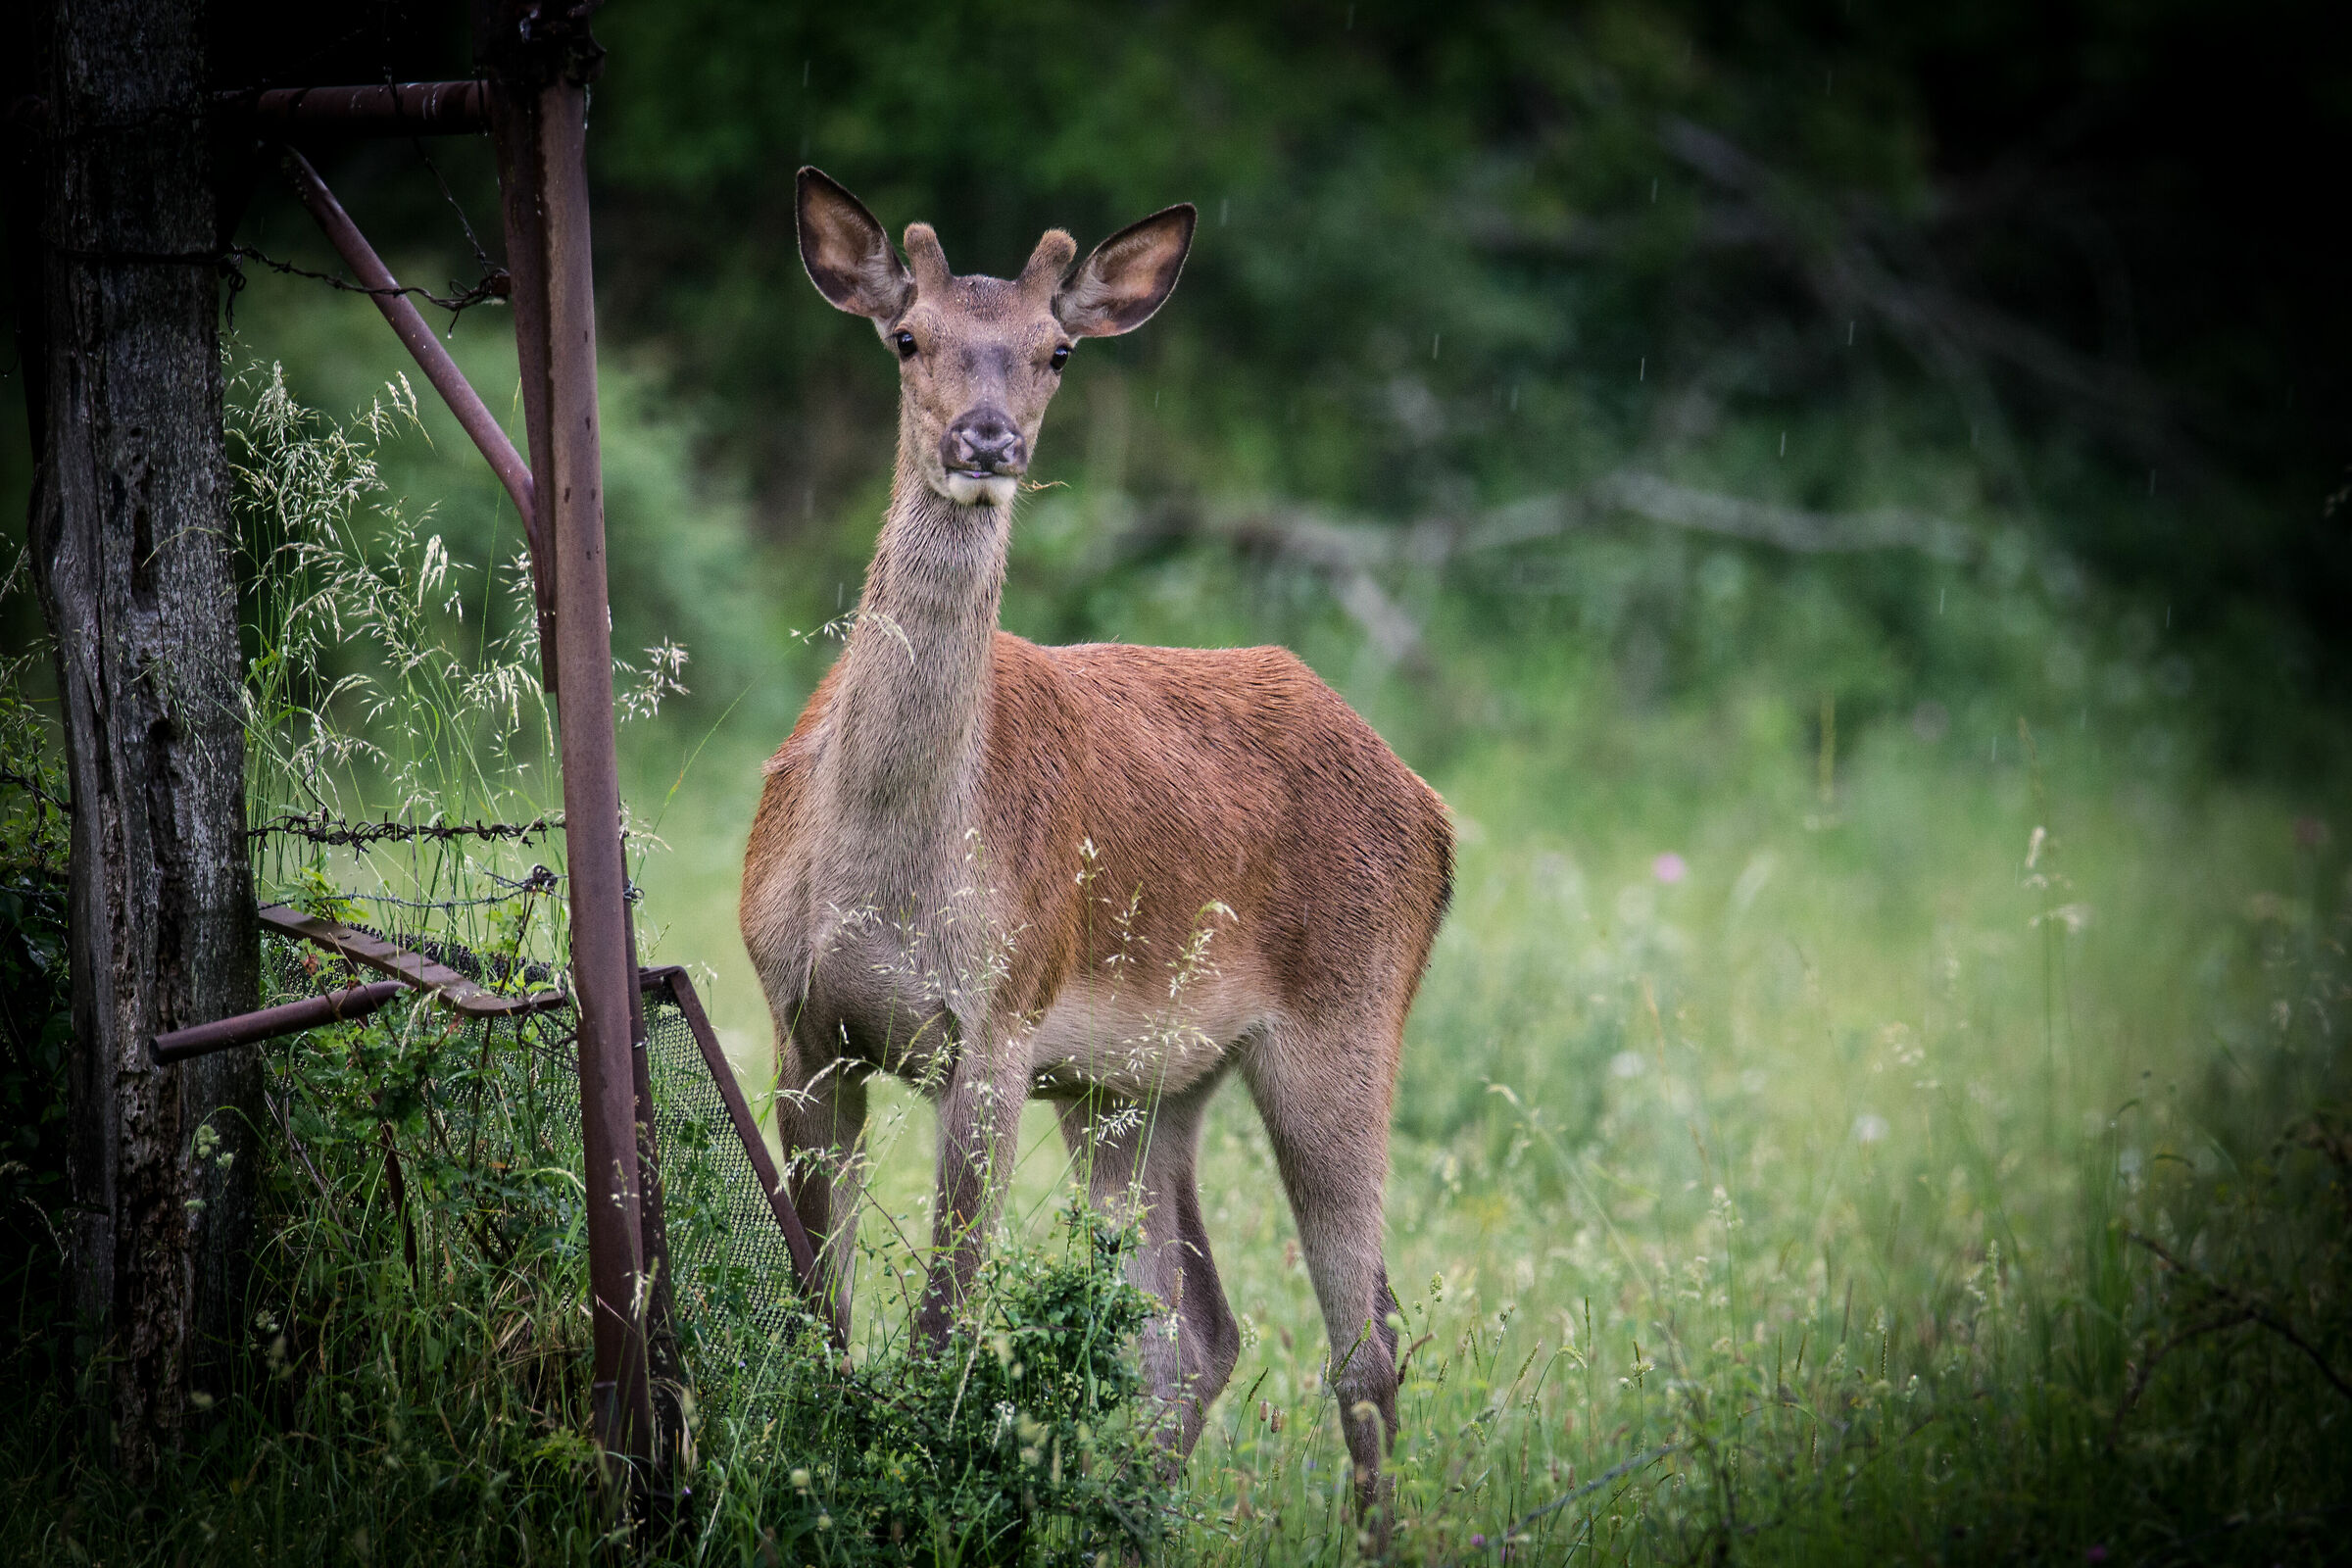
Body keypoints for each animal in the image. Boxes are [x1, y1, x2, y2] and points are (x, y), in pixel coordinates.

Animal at [739, 168, 1453, 1524]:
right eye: (905, 335)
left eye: (1055, 350)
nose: (985, 440)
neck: (882, 881)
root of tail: (1434, 812)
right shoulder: (801, 1020)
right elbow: (819, 1309)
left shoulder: (999, 1025)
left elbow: (941, 1326)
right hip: (1141, 1084)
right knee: (1195, 1331)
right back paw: (1134, 1516)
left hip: (1345, 1022)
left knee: (1369, 1339)